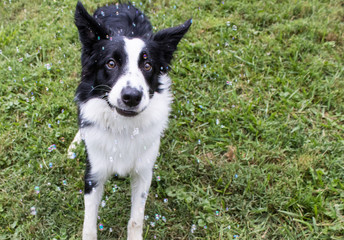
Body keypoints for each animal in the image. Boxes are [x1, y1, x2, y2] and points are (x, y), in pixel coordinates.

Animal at [70, 1, 191, 240]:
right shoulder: (94, 172)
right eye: (110, 63)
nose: (132, 97)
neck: (123, 127)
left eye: (148, 66)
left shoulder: (144, 173)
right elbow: (89, 224)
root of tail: (118, 4)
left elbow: (136, 220)